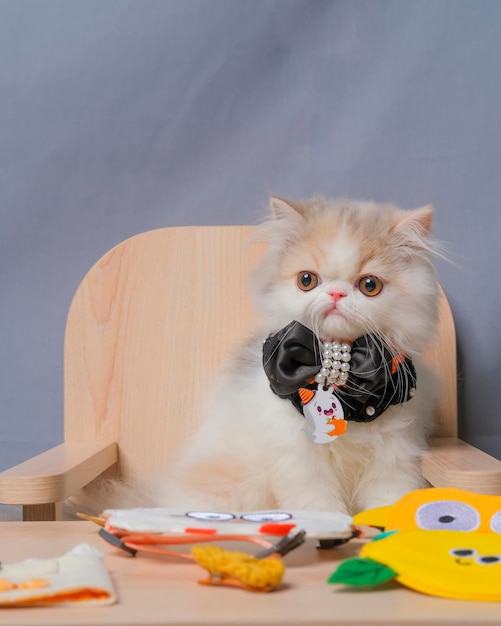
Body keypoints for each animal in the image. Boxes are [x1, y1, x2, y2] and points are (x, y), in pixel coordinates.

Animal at [155, 197, 438, 516]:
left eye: (369, 285)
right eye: (307, 280)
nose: (336, 294)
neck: (345, 388)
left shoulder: (396, 452)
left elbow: (390, 500)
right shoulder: (298, 458)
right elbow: (319, 506)